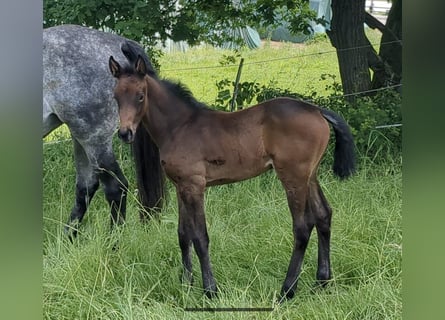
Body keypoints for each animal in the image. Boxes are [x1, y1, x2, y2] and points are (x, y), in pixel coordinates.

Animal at [42, 25, 164, 238]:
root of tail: (119, 42)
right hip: (80, 136)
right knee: (86, 187)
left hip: (93, 138)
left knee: (115, 187)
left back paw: (113, 241)